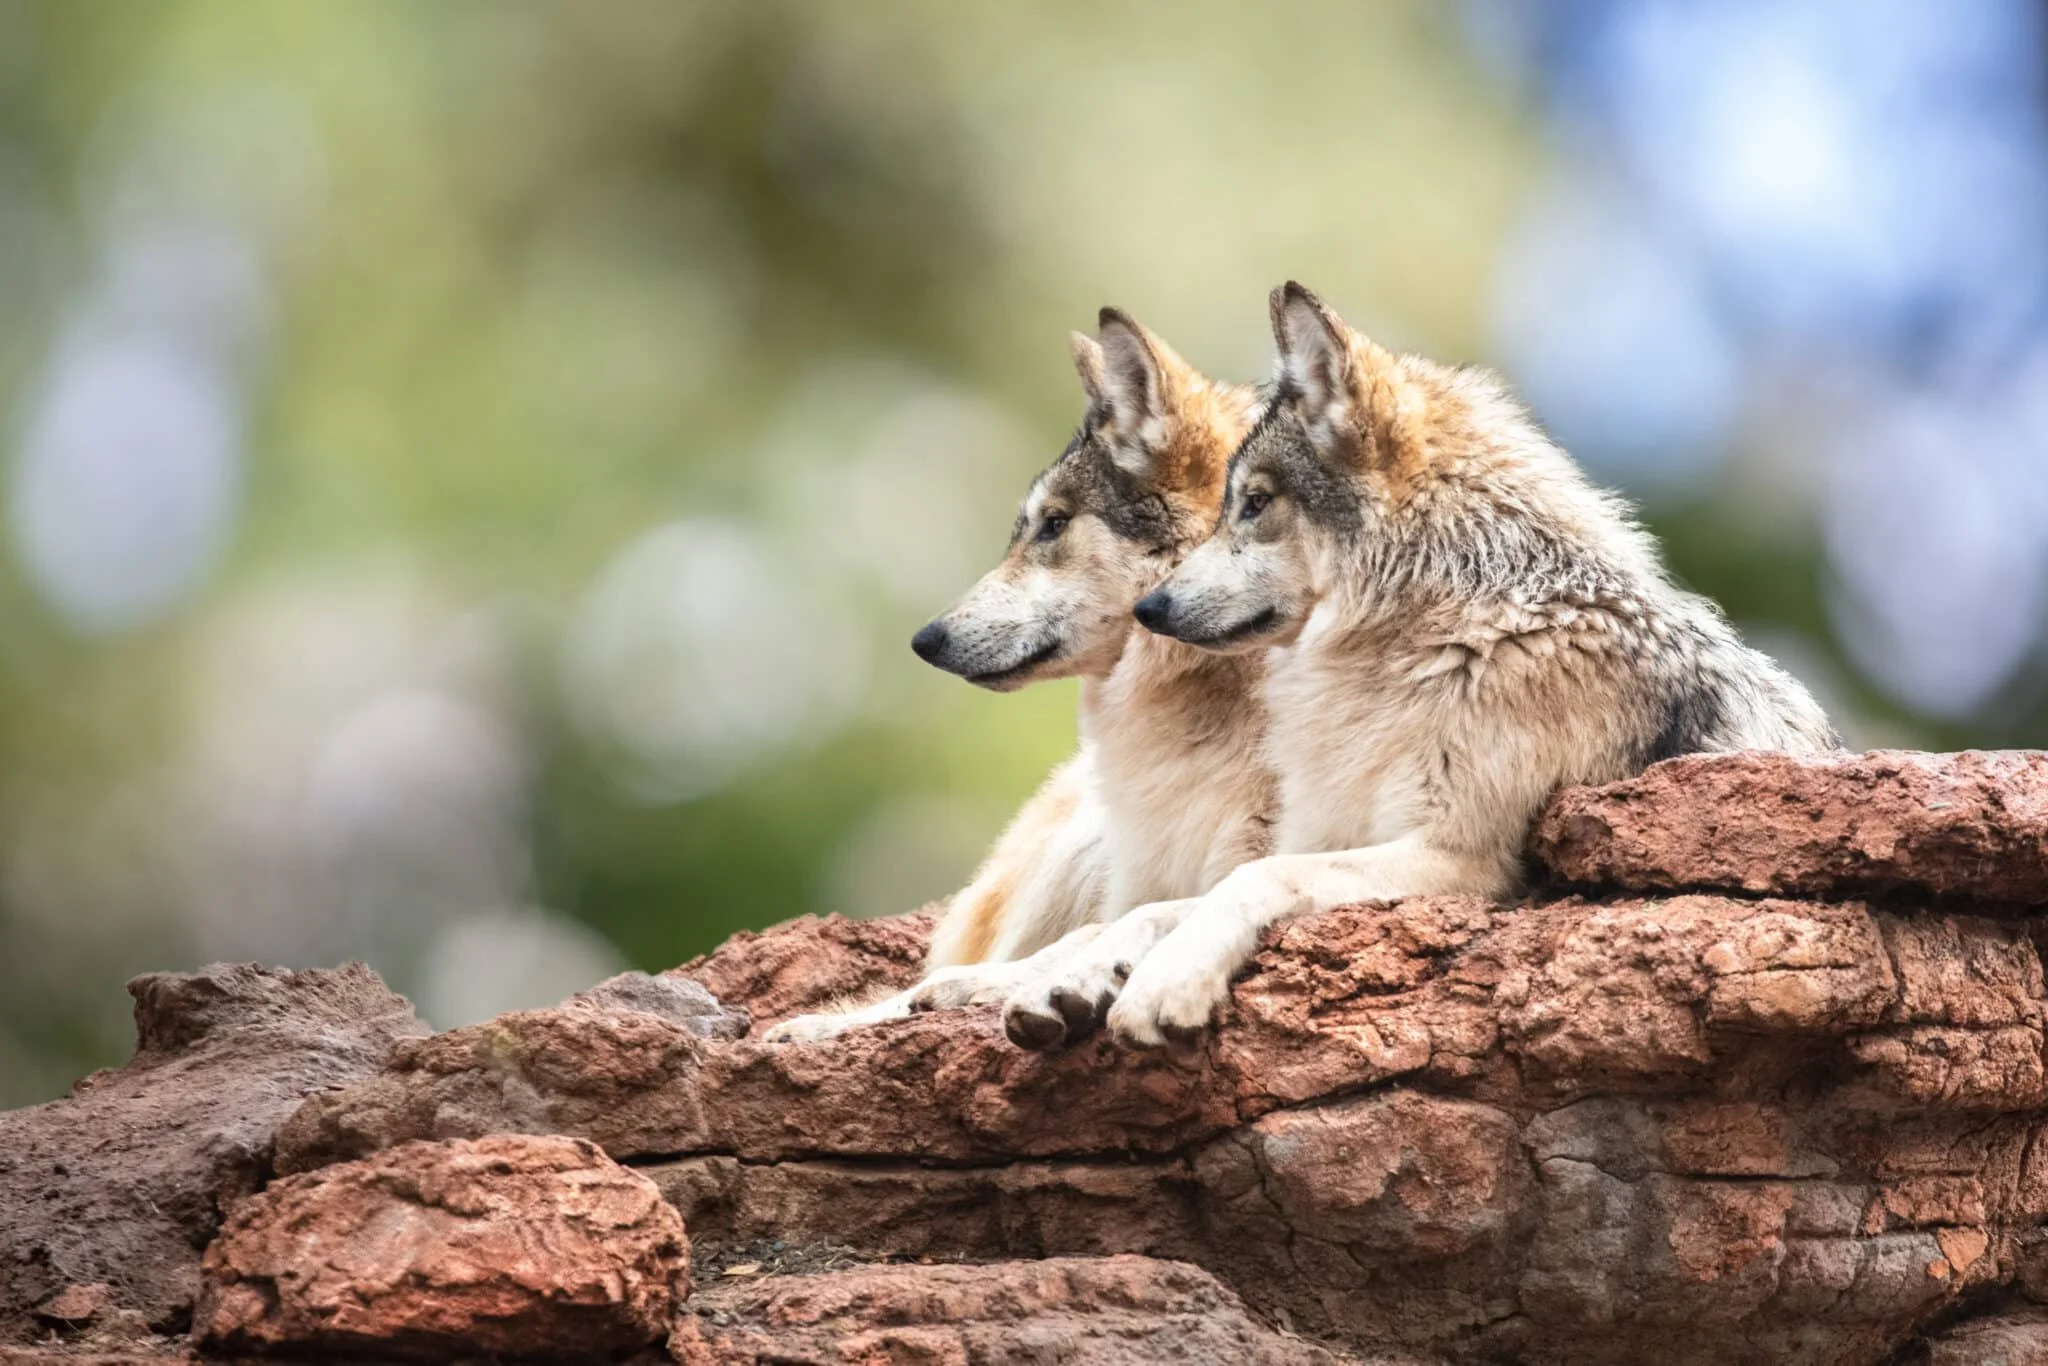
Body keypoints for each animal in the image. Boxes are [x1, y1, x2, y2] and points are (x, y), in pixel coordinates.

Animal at [765, 311, 1273, 1045]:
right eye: (1030, 526)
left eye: (1053, 524)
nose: (925, 640)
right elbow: (1106, 926)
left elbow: (1154, 918)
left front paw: (1082, 984)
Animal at [1067, 282, 1839, 1049]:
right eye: (1233, 504)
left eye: (1254, 504)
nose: (1149, 608)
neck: (1456, 628)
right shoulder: (1333, 831)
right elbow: (1152, 910)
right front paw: (1072, 972)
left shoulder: (1458, 858)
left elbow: (1253, 878)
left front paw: (1167, 982)